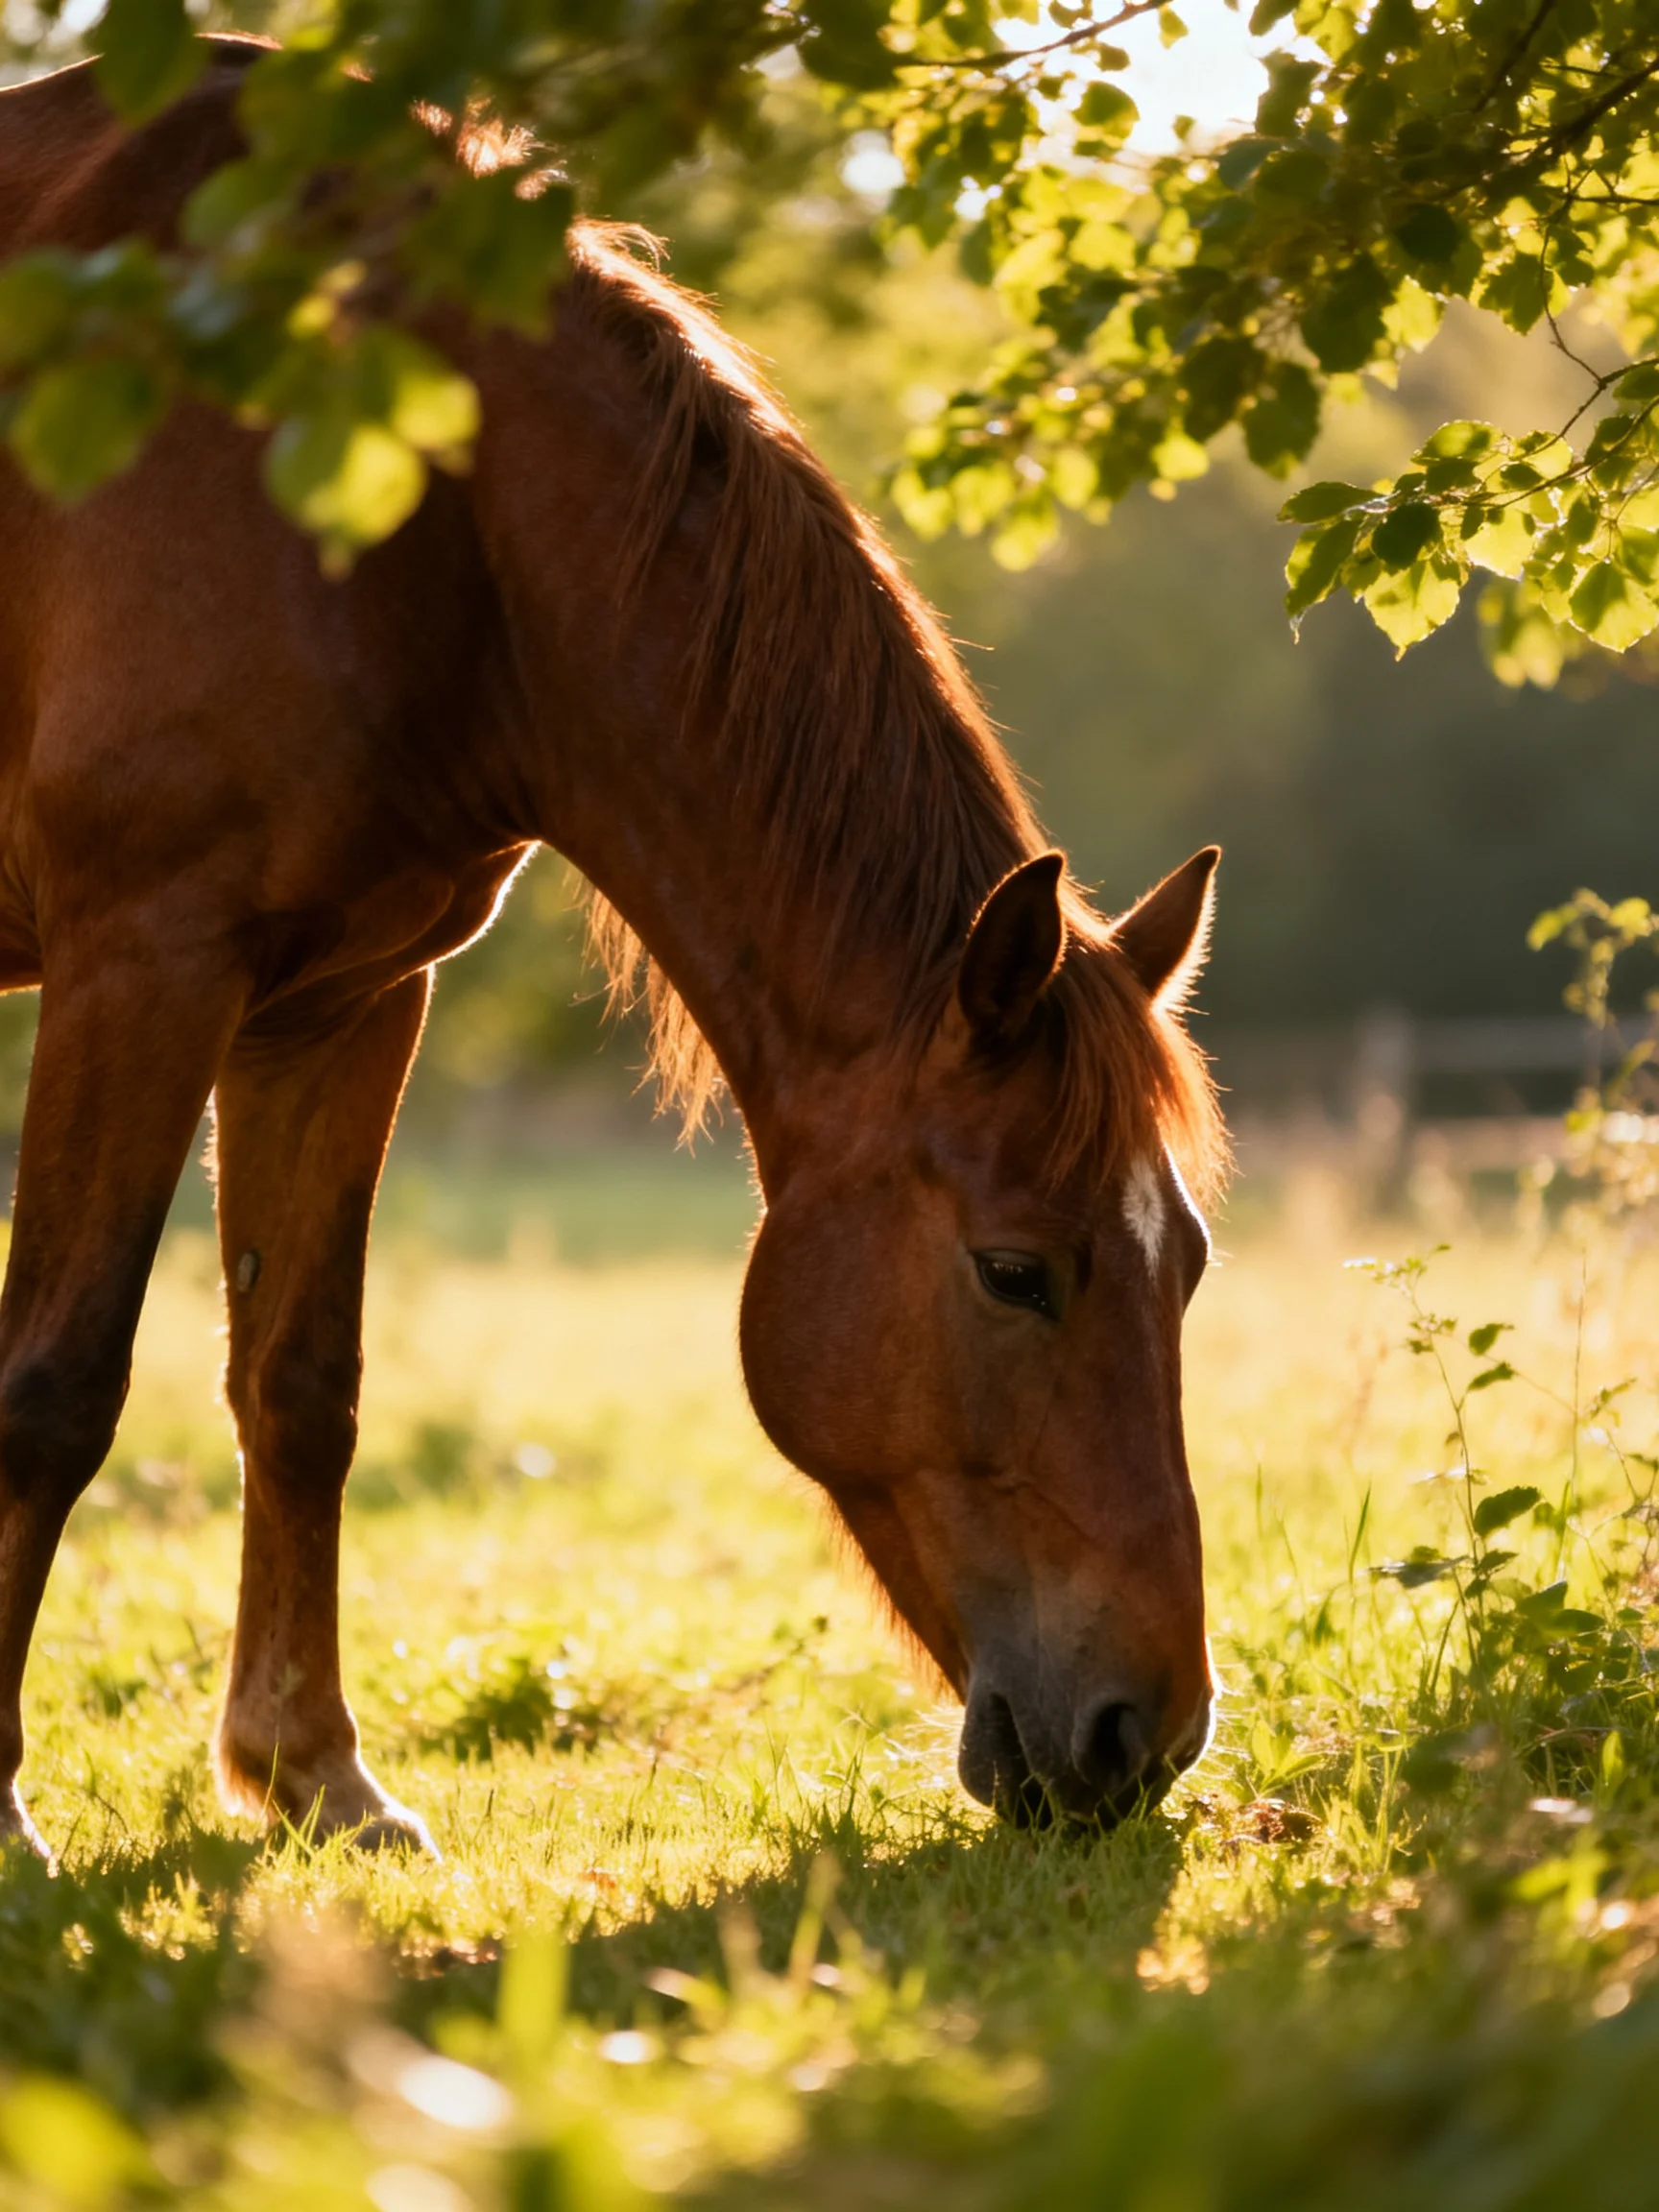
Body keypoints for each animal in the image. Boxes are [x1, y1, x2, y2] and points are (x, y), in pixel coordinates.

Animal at [0, 38, 1227, 1858]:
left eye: (1187, 1262)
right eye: (1017, 1269)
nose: (1145, 1738)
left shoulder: (338, 1001)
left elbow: (299, 1384)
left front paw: (315, 1775)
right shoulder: (139, 964)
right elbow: (55, 1389)